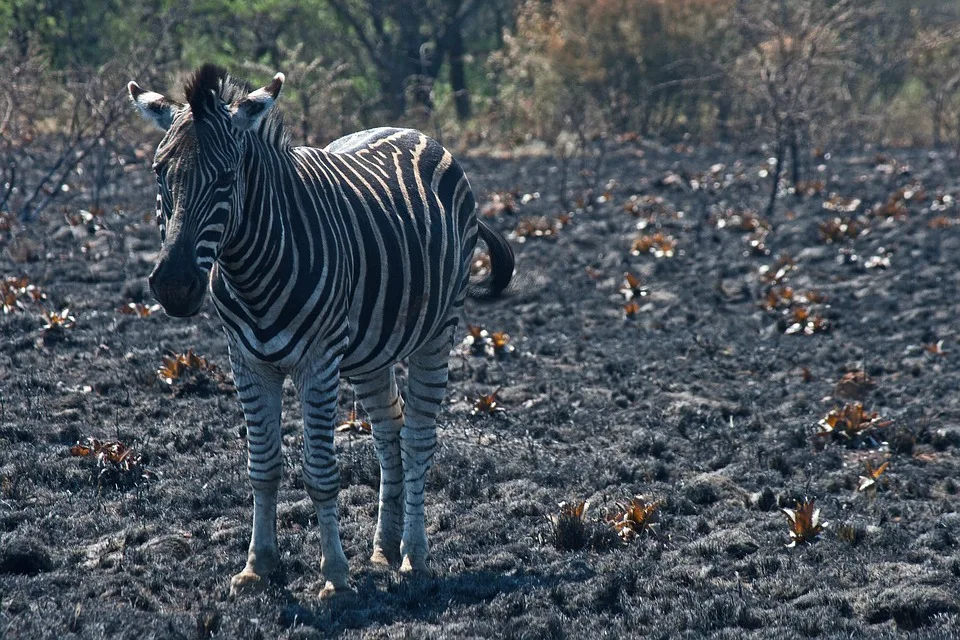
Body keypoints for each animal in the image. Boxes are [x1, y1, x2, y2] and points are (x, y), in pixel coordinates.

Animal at [131, 62, 512, 596]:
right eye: (159, 172)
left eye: (227, 178)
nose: (174, 285)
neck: (251, 270)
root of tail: (413, 130)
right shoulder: (246, 362)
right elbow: (263, 466)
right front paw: (258, 566)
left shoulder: (319, 360)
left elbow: (320, 472)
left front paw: (334, 576)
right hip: (370, 351)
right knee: (388, 430)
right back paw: (383, 550)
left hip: (438, 331)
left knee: (417, 437)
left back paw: (414, 558)